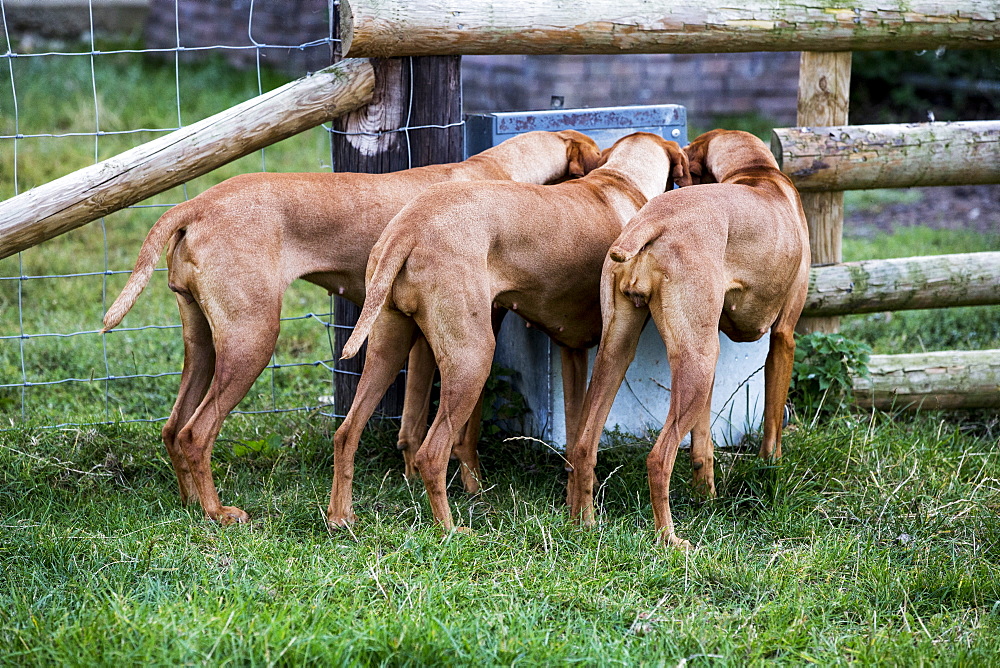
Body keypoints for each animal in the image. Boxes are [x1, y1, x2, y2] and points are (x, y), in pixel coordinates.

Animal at [101, 130, 600, 524]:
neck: (498, 169)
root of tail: (196, 204)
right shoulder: (473, 333)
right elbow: (466, 431)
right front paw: (473, 489)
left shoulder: (415, 339)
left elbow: (411, 425)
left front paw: (410, 479)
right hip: (252, 341)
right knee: (195, 433)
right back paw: (216, 512)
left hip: (204, 344)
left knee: (172, 428)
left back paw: (190, 505)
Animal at [328, 132, 688, 532]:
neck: (623, 179)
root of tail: (408, 227)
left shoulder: (573, 352)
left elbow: (576, 435)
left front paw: (575, 501)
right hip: (472, 360)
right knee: (431, 454)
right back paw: (449, 529)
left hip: (387, 350)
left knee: (346, 434)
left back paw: (341, 517)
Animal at [568, 129, 808, 548]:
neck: (756, 172)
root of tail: (651, 221)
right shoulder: (783, 338)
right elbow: (772, 427)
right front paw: (771, 471)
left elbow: (702, 446)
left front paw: (706, 497)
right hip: (698, 361)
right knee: (658, 457)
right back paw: (670, 540)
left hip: (624, 354)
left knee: (585, 444)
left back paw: (585, 523)